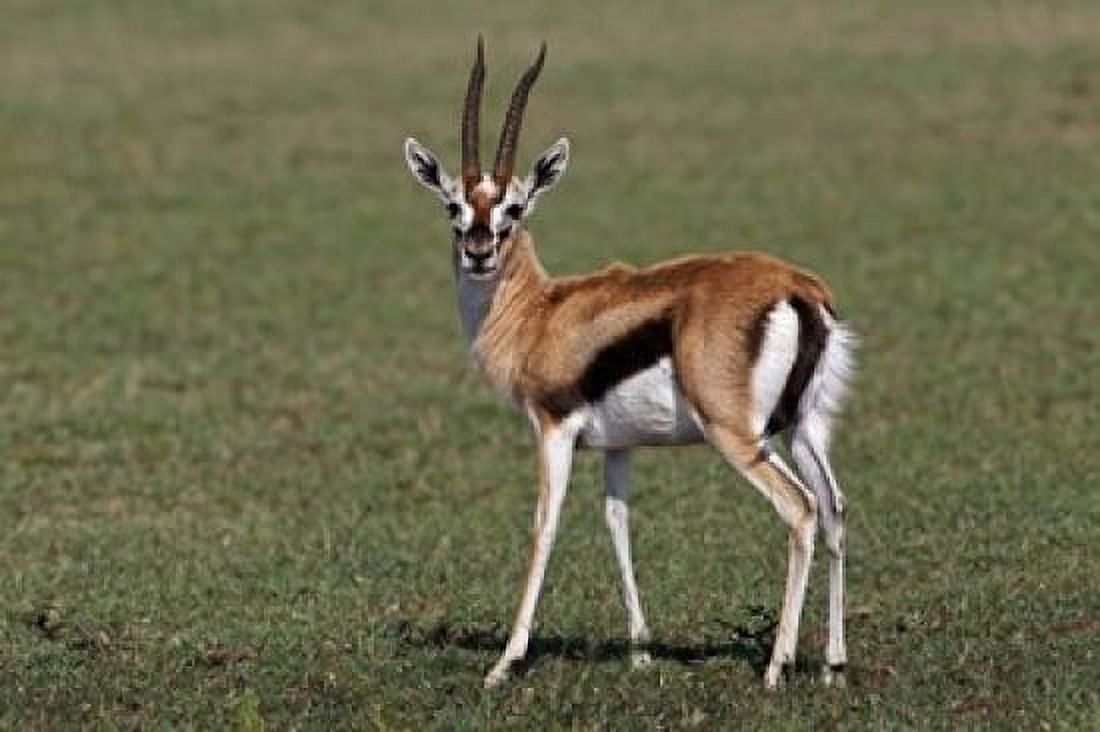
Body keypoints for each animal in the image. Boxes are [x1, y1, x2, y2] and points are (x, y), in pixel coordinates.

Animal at [402, 38, 856, 690]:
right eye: (453, 206)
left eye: (514, 207)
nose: (479, 251)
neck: (540, 313)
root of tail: (798, 289)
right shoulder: (618, 446)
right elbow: (618, 523)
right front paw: (641, 651)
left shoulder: (553, 430)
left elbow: (544, 526)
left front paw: (504, 662)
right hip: (803, 427)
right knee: (836, 508)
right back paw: (834, 666)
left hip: (738, 435)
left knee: (801, 509)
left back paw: (777, 668)